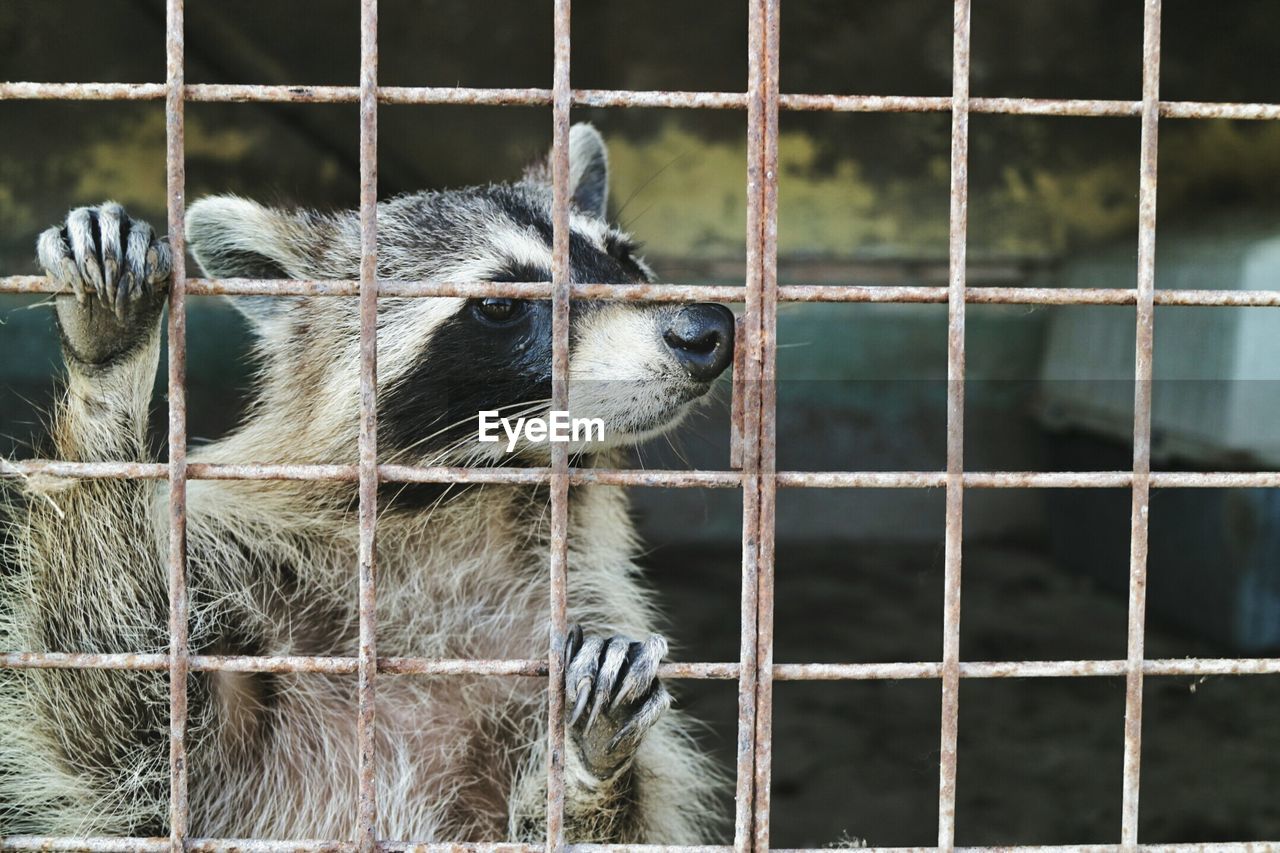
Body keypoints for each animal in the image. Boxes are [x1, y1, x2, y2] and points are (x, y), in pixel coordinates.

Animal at [0, 122, 737, 840]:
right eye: (503, 303)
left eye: (625, 261)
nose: (707, 329)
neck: (468, 502)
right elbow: (113, 706)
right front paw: (109, 373)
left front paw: (585, 769)